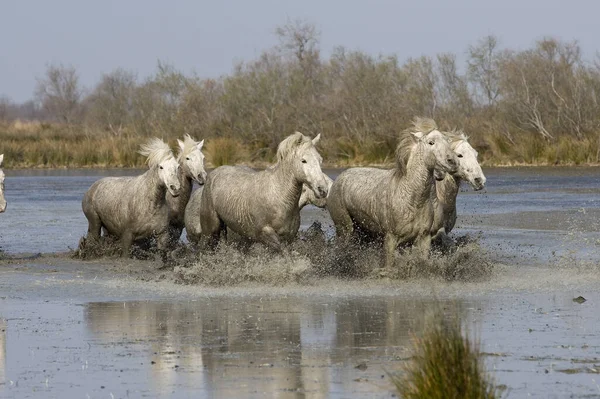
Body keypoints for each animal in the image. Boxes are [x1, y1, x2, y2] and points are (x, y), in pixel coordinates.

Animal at [198, 133, 328, 250]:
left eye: (320, 160)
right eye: (303, 160)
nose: (323, 189)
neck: (279, 196)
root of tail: (214, 174)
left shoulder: (289, 237)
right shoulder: (267, 235)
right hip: (211, 231)